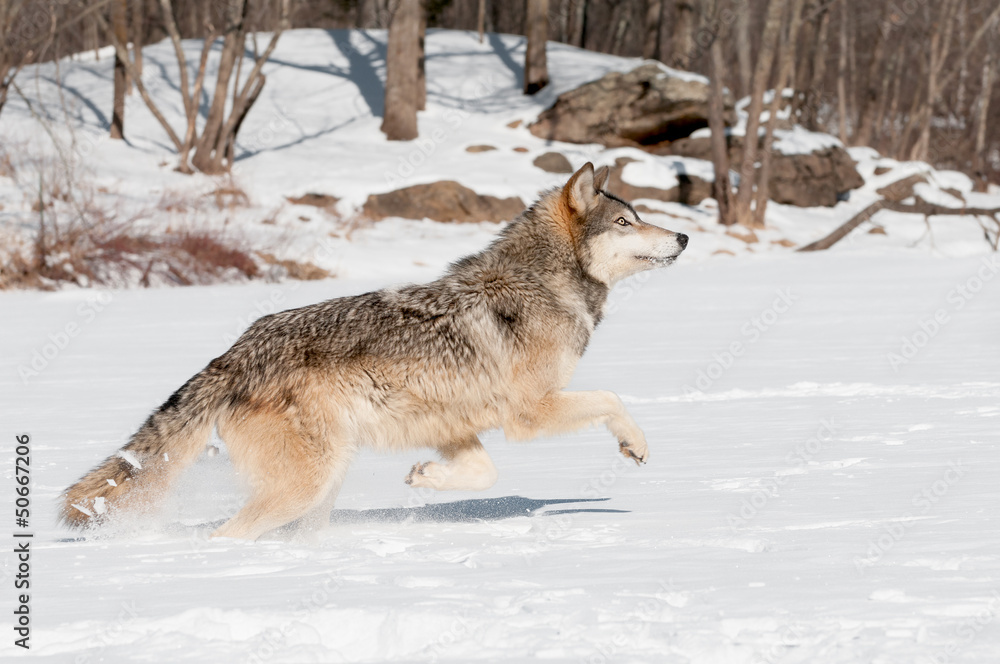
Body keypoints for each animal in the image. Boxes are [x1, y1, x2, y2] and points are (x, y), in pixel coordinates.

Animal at [61, 163, 688, 540]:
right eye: (627, 221)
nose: (683, 236)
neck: (542, 284)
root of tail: (236, 351)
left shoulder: (453, 423)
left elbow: (482, 473)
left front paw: (425, 480)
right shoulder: (530, 413)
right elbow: (612, 398)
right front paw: (636, 444)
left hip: (323, 485)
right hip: (305, 485)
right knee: (227, 535)